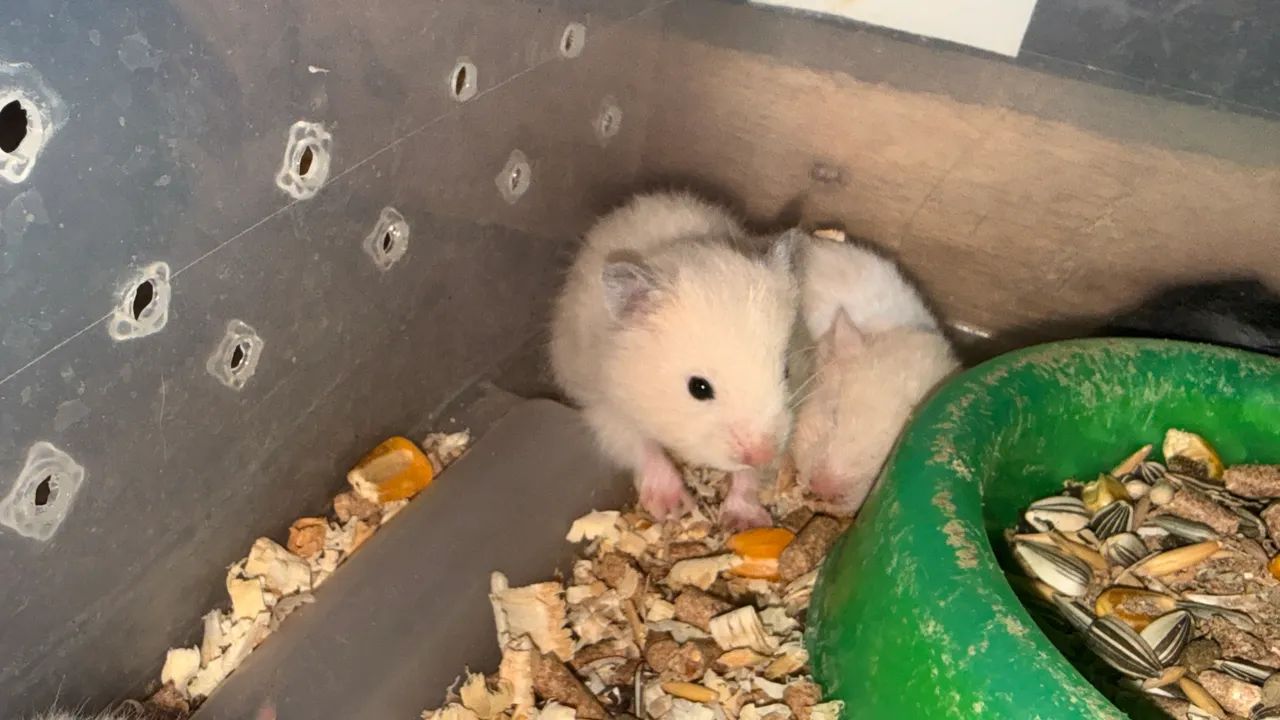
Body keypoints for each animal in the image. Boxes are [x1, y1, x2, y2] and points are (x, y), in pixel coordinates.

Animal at [550, 191, 800, 528]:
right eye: (699, 388)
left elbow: (747, 477)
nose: (764, 453)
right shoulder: (605, 407)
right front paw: (672, 509)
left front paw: (744, 521)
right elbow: (641, 447)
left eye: (786, 370)